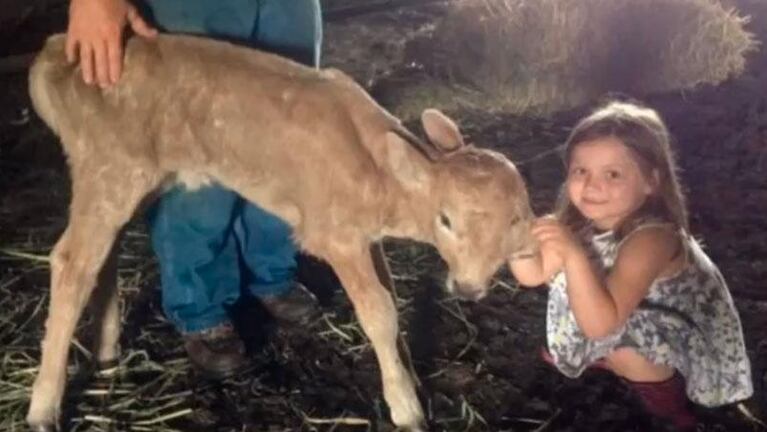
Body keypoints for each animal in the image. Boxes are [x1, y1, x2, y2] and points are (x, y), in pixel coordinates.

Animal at [27, 34, 536, 432]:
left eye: (518, 220)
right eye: (446, 219)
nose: (468, 288)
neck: (381, 178)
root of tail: (53, 52)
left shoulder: (369, 240)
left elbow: (393, 298)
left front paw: (410, 378)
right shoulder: (337, 234)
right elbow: (379, 313)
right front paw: (405, 407)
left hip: (129, 180)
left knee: (101, 256)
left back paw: (106, 352)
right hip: (109, 168)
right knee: (71, 261)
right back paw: (42, 408)